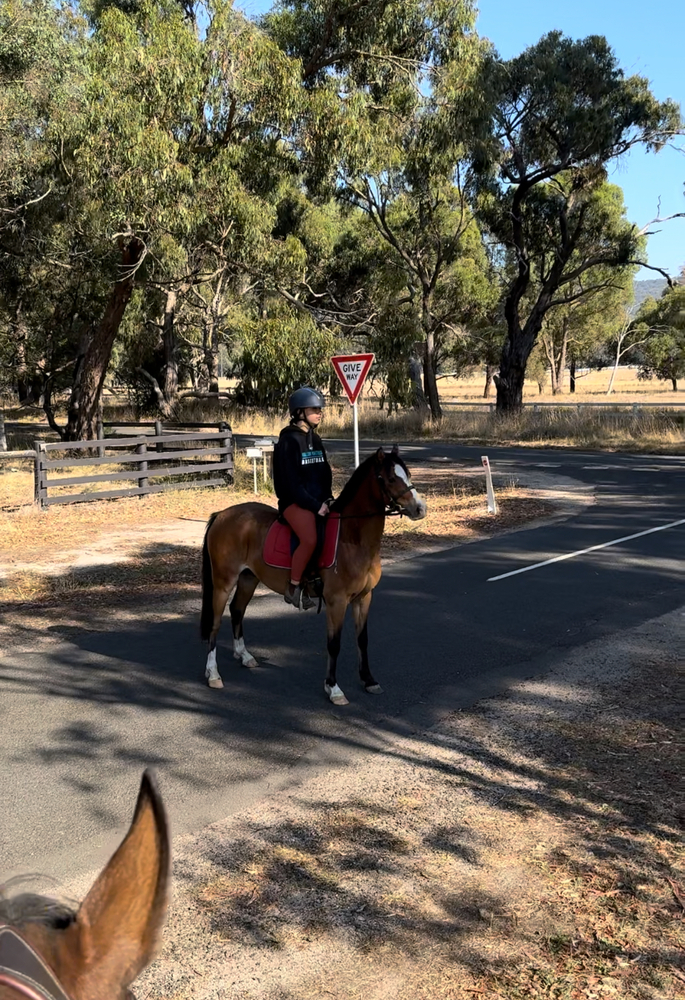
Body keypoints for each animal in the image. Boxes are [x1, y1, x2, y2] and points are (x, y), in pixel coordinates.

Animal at [200, 445, 427, 705]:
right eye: (390, 478)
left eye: (407, 474)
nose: (420, 508)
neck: (352, 539)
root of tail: (222, 514)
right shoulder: (337, 601)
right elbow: (334, 643)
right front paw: (333, 688)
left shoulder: (364, 597)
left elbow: (362, 639)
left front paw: (369, 681)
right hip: (223, 582)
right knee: (215, 623)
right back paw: (213, 674)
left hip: (249, 578)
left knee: (237, 610)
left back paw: (244, 655)